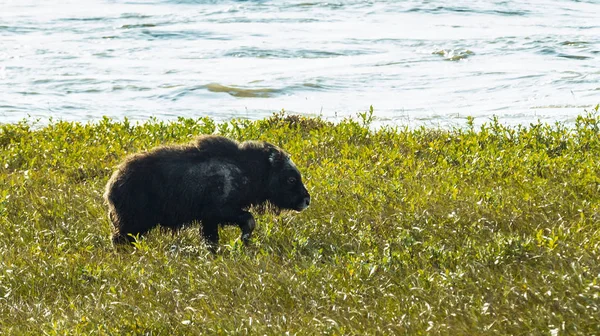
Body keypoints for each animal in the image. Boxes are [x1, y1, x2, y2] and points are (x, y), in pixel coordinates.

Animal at [103, 136, 310, 249]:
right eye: (291, 179)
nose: (307, 200)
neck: (247, 170)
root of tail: (111, 186)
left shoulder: (209, 219)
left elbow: (211, 238)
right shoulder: (222, 210)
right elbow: (249, 220)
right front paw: (242, 240)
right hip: (130, 224)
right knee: (119, 240)